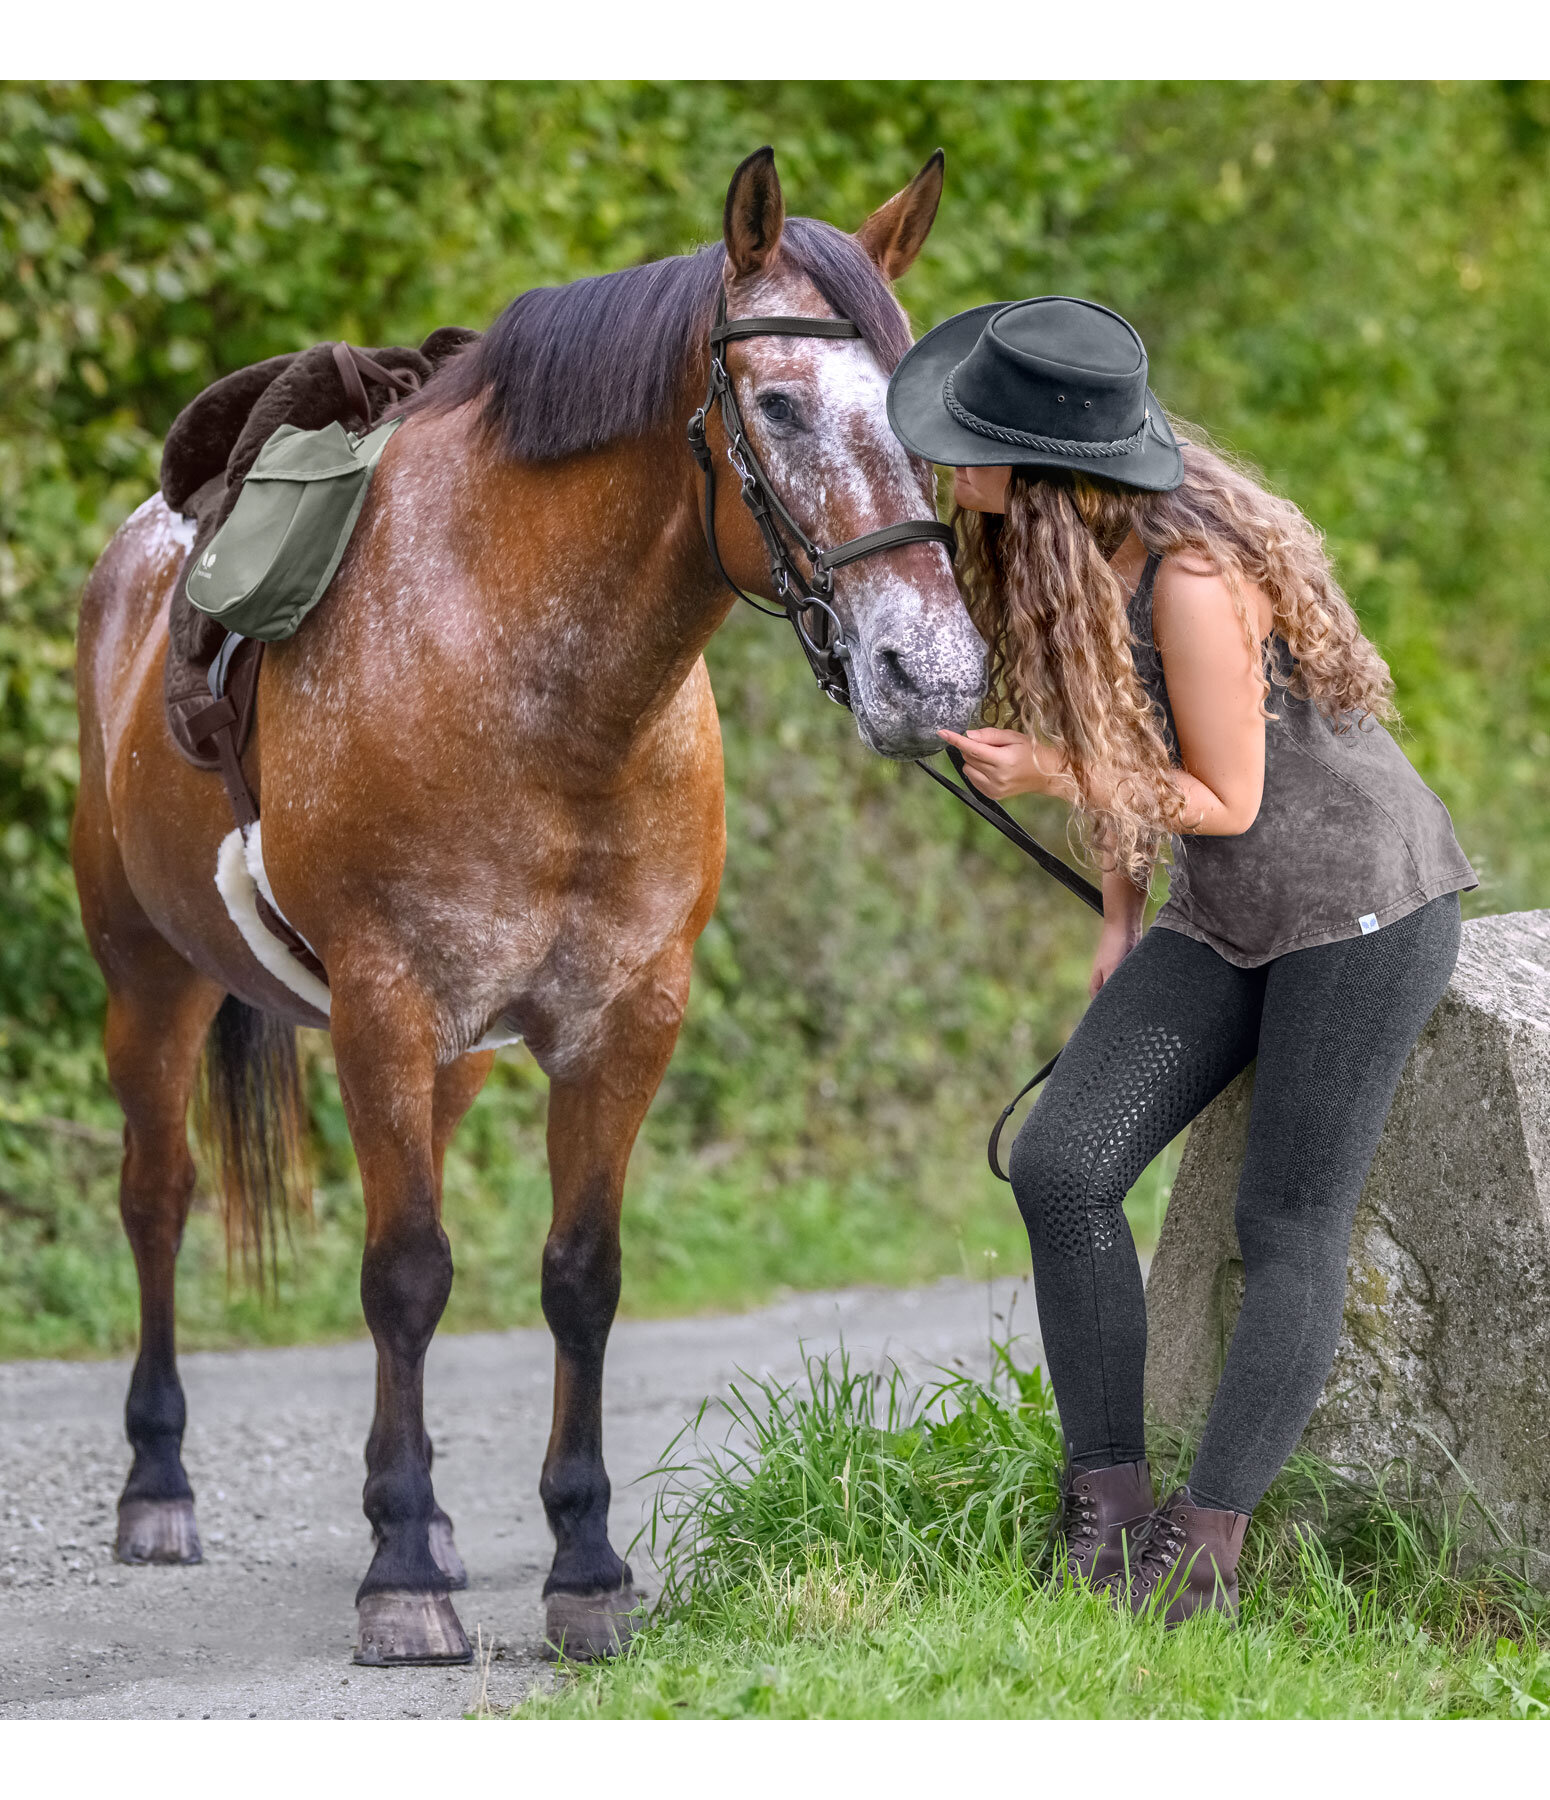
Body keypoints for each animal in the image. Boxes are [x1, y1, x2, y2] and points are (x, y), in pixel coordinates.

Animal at [69, 147, 979, 1663]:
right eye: (778, 405)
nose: (935, 676)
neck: (539, 690)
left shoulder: (621, 1021)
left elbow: (577, 1277)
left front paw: (583, 1566)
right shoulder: (383, 1004)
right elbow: (404, 1272)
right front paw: (401, 1582)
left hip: (448, 1059)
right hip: (151, 979)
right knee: (158, 1200)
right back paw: (158, 1488)